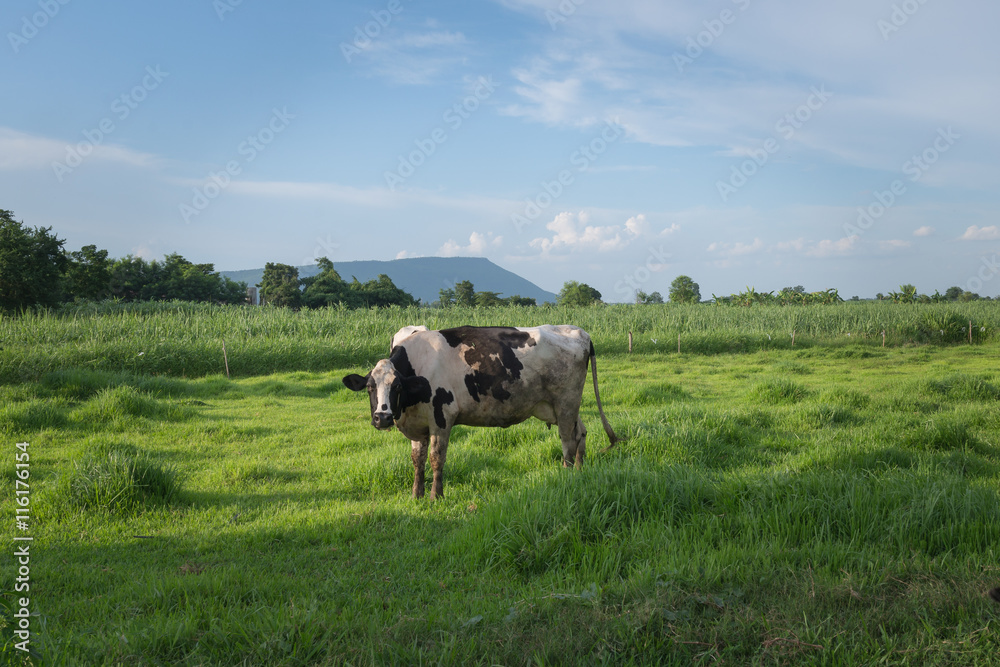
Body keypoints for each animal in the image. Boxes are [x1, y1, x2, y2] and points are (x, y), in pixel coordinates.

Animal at [348, 324, 620, 500]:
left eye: (397, 386)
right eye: (370, 387)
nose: (382, 417)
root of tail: (577, 330)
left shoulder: (441, 419)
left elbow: (436, 458)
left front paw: (436, 496)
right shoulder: (418, 425)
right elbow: (417, 460)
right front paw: (416, 495)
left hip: (566, 401)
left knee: (567, 441)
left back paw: (566, 476)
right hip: (564, 405)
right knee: (580, 432)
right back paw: (579, 472)